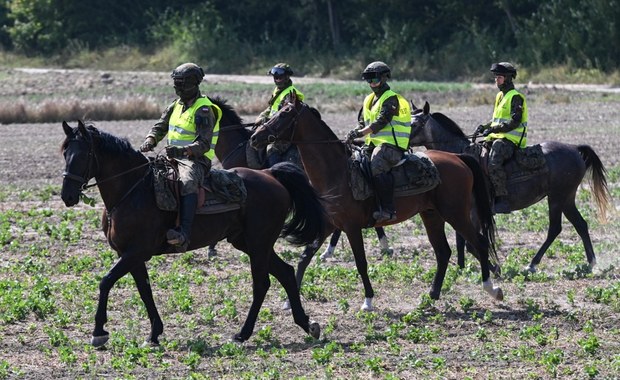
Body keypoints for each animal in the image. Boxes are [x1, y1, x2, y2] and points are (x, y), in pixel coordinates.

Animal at [60, 121, 326, 348]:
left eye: (83, 155)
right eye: (65, 153)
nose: (67, 196)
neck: (133, 191)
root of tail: (270, 174)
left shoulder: (136, 252)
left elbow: (106, 281)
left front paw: (98, 333)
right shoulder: (130, 255)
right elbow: (145, 291)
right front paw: (154, 333)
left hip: (258, 243)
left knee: (262, 284)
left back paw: (243, 334)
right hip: (249, 243)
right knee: (286, 273)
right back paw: (307, 324)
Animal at [248, 94, 504, 308]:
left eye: (284, 113)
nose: (254, 137)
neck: (338, 172)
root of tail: (458, 157)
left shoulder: (351, 228)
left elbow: (361, 263)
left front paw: (368, 300)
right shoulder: (329, 225)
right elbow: (304, 258)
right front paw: (289, 302)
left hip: (456, 213)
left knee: (479, 243)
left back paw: (492, 288)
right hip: (432, 215)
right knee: (443, 252)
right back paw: (432, 295)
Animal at [406, 101, 612, 274]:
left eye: (415, 124)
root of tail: (574, 148)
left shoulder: (475, 211)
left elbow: (471, 243)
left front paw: (494, 268)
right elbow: (461, 240)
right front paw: (461, 268)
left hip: (557, 198)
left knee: (555, 228)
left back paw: (532, 264)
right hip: (567, 198)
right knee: (580, 225)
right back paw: (591, 263)